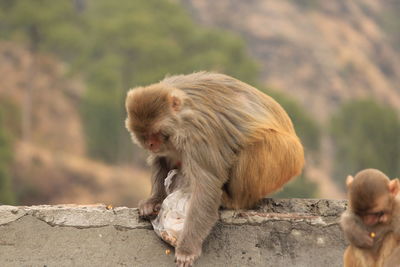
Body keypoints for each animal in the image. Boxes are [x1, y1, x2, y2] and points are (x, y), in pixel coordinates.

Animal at [125, 72, 304, 266]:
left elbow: (206, 186)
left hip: (285, 158)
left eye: (156, 133)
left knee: (258, 146)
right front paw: (153, 200)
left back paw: (233, 201)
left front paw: (187, 249)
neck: (181, 115)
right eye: (144, 135)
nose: (151, 144)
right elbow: (163, 159)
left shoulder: (195, 133)